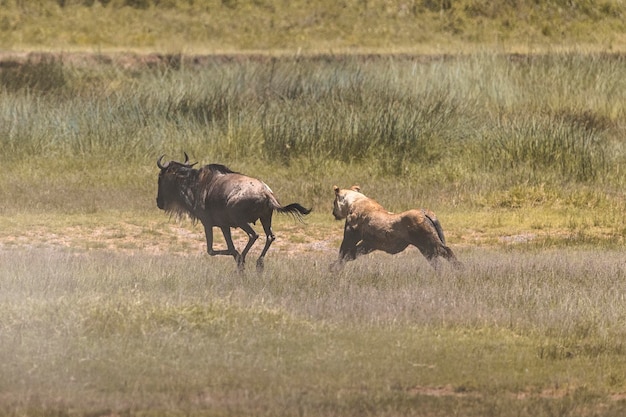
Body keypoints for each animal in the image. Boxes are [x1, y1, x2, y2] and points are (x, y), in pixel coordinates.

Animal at [330, 184, 460, 270]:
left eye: (333, 202)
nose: (333, 213)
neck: (354, 201)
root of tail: (425, 212)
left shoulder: (352, 234)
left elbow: (344, 253)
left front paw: (334, 268)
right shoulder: (369, 243)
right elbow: (351, 255)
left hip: (429, 242)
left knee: (447, 252)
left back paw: (459, 270)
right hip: (425, 247)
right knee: (436, 261)